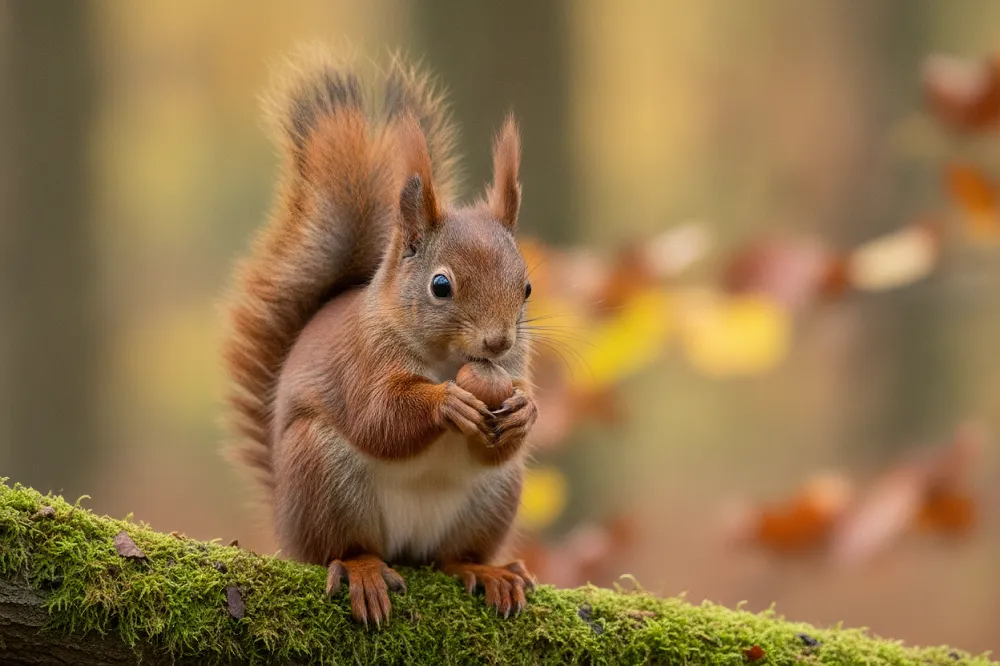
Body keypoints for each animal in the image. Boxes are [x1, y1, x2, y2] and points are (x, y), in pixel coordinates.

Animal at [223, 47, 538, 627]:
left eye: (527, 288)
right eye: (441, 285)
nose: (499, 343)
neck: (445, 361)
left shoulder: (513, 375)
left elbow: (502, 440)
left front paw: (526, 411)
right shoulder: (361, 362)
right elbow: (379, 416)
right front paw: (448, 403)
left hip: (495, 497)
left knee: (452, 556)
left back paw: (484, 570)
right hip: (321, 472)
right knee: (342, 547)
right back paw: (362, 570)